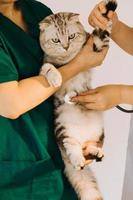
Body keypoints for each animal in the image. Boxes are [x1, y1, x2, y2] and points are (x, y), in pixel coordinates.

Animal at [39, 0, 117, 199]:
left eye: (72, 36)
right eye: (56, 40)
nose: (66, 46)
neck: (68, 59)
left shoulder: (97, 44)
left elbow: (101, 31)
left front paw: (107, 10)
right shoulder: (44, 64)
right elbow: (48, 68)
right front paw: (56, 78)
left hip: (99, 132)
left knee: (88, 147)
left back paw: (96, 152)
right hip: (64, 130)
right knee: (74, 149)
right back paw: (78, 160)